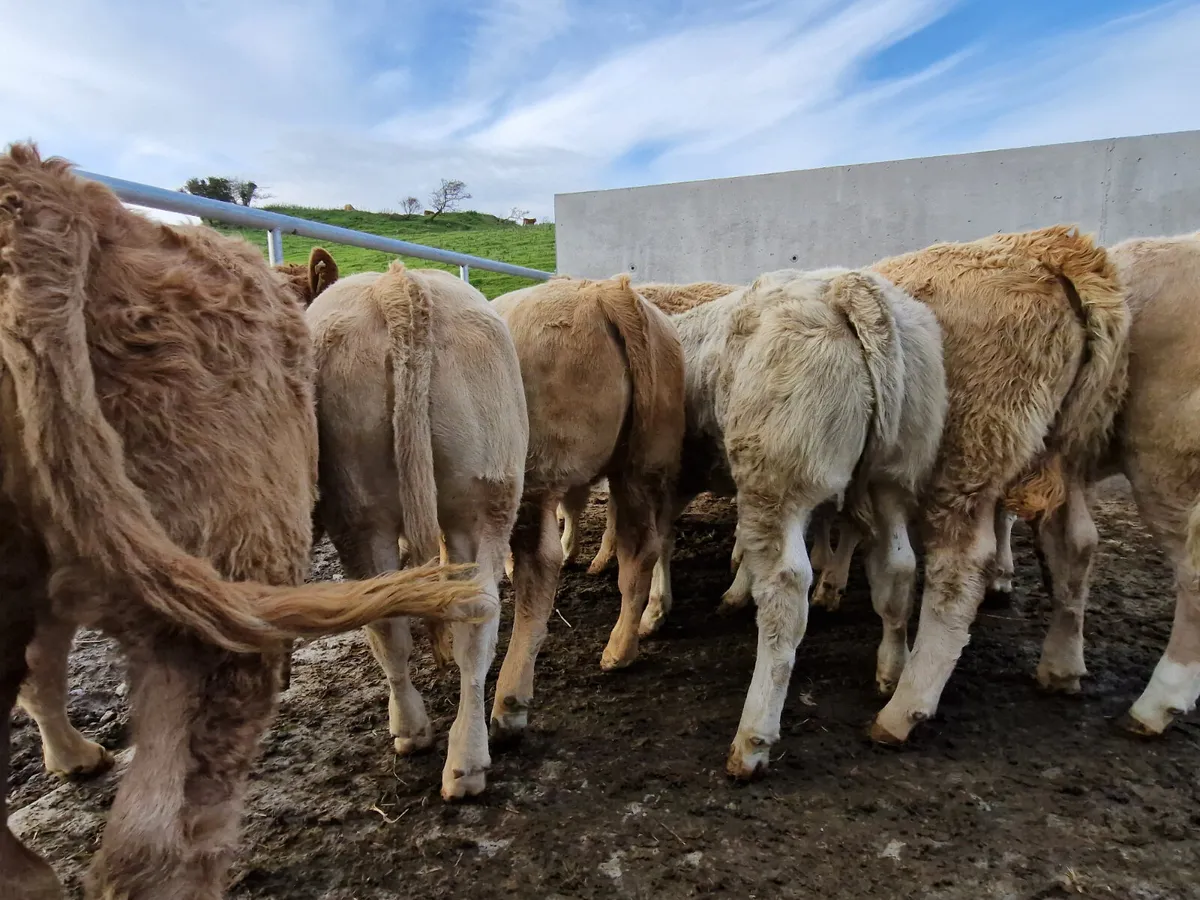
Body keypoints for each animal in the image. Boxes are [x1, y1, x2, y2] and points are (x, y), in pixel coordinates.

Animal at [304, 262, 525, 801]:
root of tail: (400, 284)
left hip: (360, 515)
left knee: (388, 619)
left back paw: (410, 728)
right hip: (484, 491)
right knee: (472, 613)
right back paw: (466, 761)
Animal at [482, 278, 681, 744]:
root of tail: (607, 292)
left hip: (535, 472)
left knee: (541, 564)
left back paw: (509, 702)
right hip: (642, 465)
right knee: (644, 548)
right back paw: (622, 648)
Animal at [868, 225, 1128, 748]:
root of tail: (1050, 248)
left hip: (970, 448)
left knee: (959, 568)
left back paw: (905, 708)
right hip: (1065, 449)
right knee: (1076, 543)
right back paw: (1062, 665)